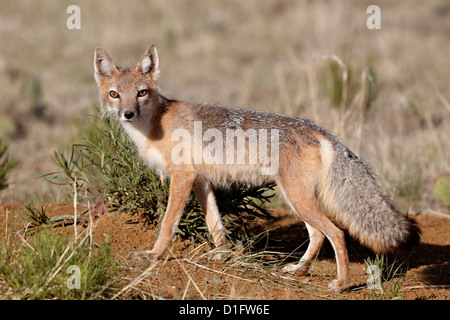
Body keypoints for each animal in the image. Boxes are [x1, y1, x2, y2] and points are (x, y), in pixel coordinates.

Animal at [93, 44, 420, 292]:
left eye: (142, 93)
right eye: (114, 94)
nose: (128, 113)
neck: (154, 125)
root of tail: (320, 130)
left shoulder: (182, 177)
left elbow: (167, 224)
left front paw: (154, 255)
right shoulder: (200, 181)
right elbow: (214, 223)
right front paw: (222, 254)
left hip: (298, 199)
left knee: (336, 233)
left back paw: (341, 284)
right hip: (297, 200)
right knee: (317, 235)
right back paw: (299, 271)